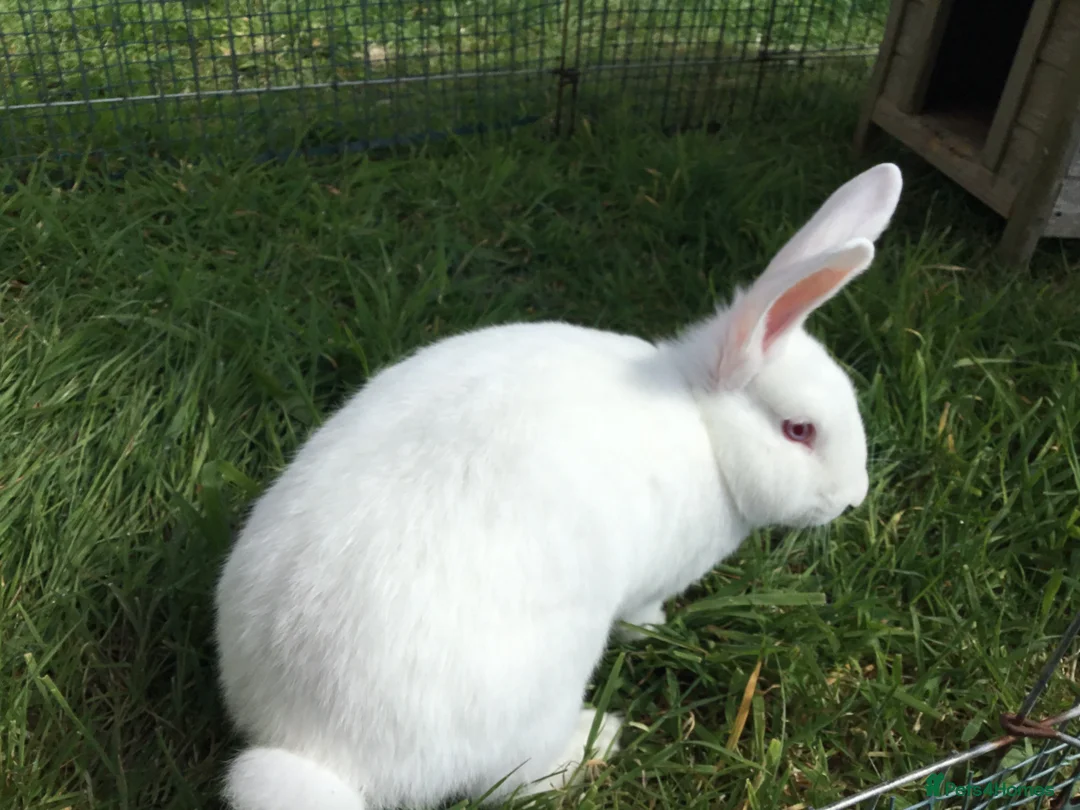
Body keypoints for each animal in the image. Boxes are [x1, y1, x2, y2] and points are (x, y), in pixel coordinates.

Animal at [213, 162, 903, 810]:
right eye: (798, 430)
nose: (853, 497)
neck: (705, 424)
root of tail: (319, 752)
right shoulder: (650, 582)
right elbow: (642, 613)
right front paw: (657, 633)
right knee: (511, 781)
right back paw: (596, 740)